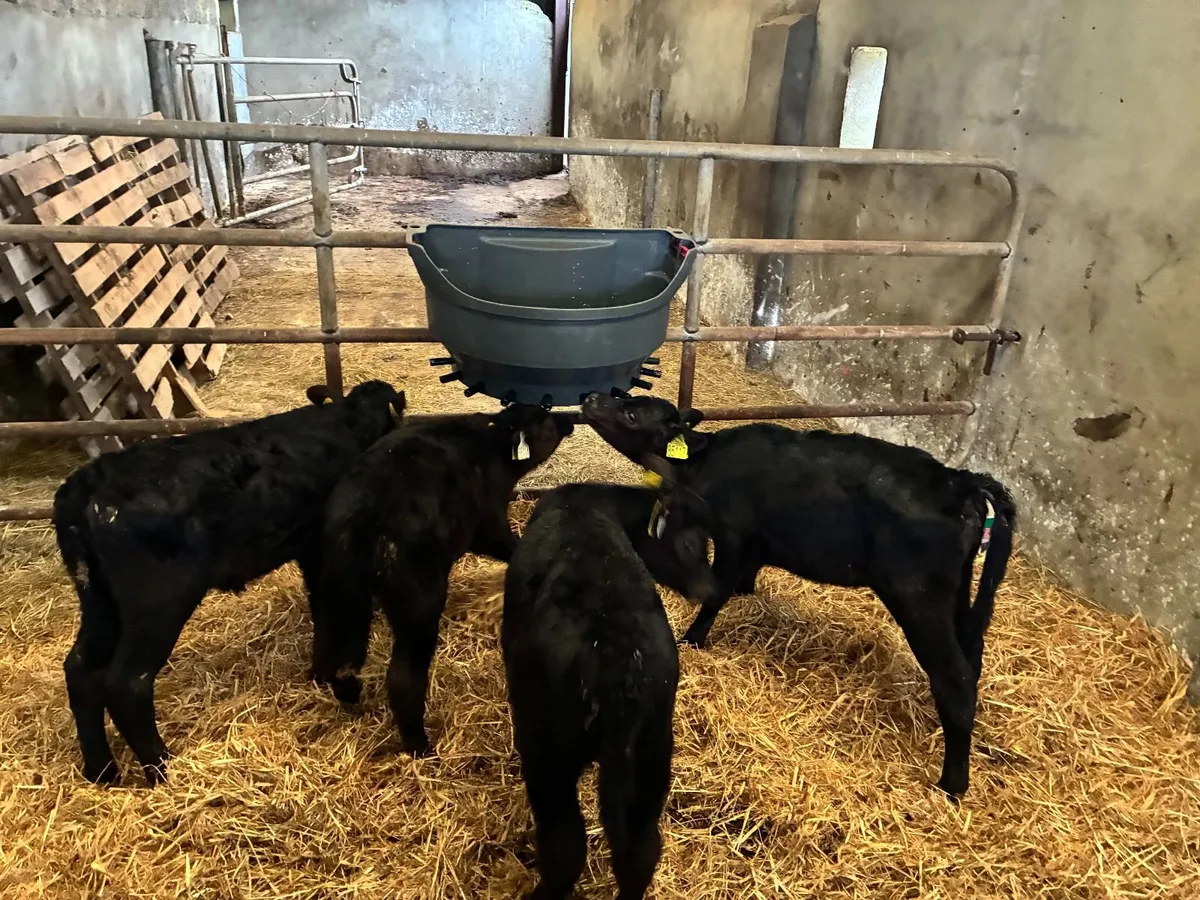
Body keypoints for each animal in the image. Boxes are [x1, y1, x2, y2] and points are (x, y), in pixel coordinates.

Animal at [55, 380, 406, 786]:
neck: (351, 425)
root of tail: (87, 484)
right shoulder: (323, 547)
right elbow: (328, 608)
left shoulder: (307, 549)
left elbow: (319, 607)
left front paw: (317, 674)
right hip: (157, 602)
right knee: (126, 682)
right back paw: (161, 768)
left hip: (97, 599)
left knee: (80, 669)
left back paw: (103, 771)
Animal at [580, 393, 1015, 798]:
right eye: (623, 398)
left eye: (632, 413)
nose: (589, 399)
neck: (703, 462)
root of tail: (961, 483)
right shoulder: (757, 544)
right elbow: (742, 581)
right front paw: (746, 596)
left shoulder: (733, 536)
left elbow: (716, 591)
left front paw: (692, 639)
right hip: (958, 597)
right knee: (972, 658)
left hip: (918, 597)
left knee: (956, 679)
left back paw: (952, 785)